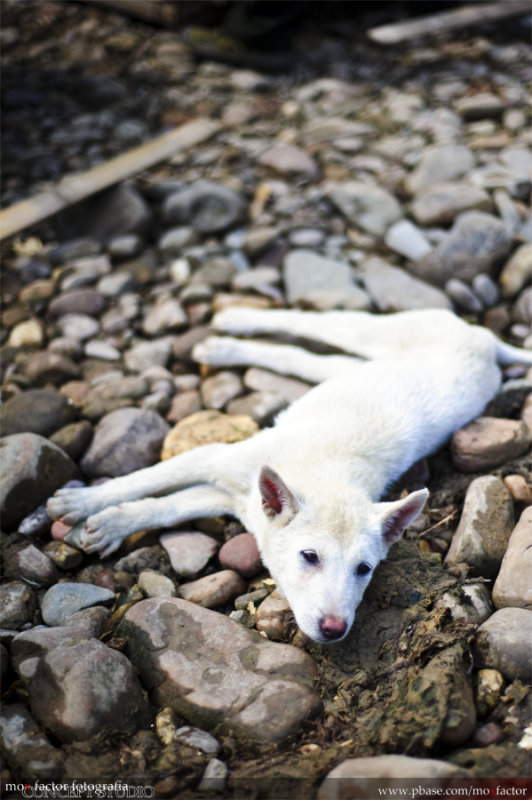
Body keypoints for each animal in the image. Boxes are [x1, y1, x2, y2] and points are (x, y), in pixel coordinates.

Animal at [47, 308, 528, 644]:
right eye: (309, 557)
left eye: (364, 569)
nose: (334, 629)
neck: (327, 477)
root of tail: (485, 341)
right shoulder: (217, 460)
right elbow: (148, 479)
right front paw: (82, 504)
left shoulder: (234, 497)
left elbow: (168, 506)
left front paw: (111, 523)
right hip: (382, 332)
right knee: (315, 325)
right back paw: (232, 326)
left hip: (358, 364)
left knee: (301, 356)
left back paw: (225, 345)